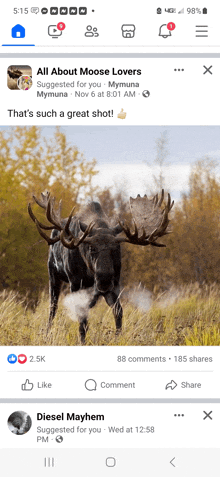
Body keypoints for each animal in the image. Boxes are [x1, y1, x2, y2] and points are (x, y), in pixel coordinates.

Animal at [28, 189, 174, 342]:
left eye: (116, 248)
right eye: (91, 248)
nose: (104, 279)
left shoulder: (115, 285)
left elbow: (118, 311)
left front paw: (117, 338)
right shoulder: (75, 283)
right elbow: (82, 319)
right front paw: (82, 341)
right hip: (53, 275)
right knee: (53, 308)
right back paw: (47, 333)